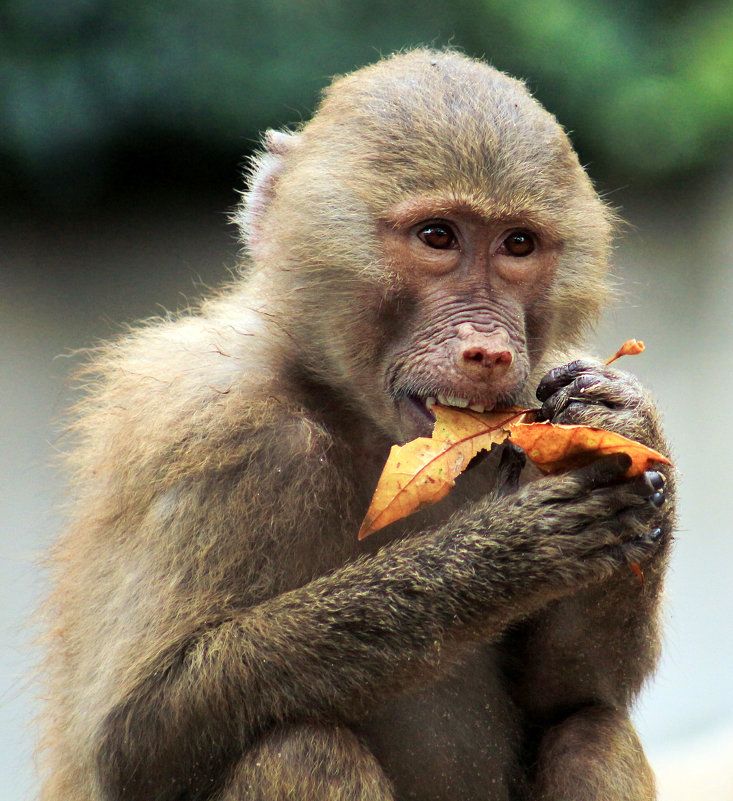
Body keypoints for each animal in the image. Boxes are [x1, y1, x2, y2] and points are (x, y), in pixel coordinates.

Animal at [38, 50, 668, 800]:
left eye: (518, 244)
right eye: (437, 236)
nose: (489, 352)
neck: (357, 416)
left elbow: (571, 693)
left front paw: (621, 417)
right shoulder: (206, 424)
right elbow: (133, 740)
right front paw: (501, 554)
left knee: (590, 730)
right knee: (299, 744)